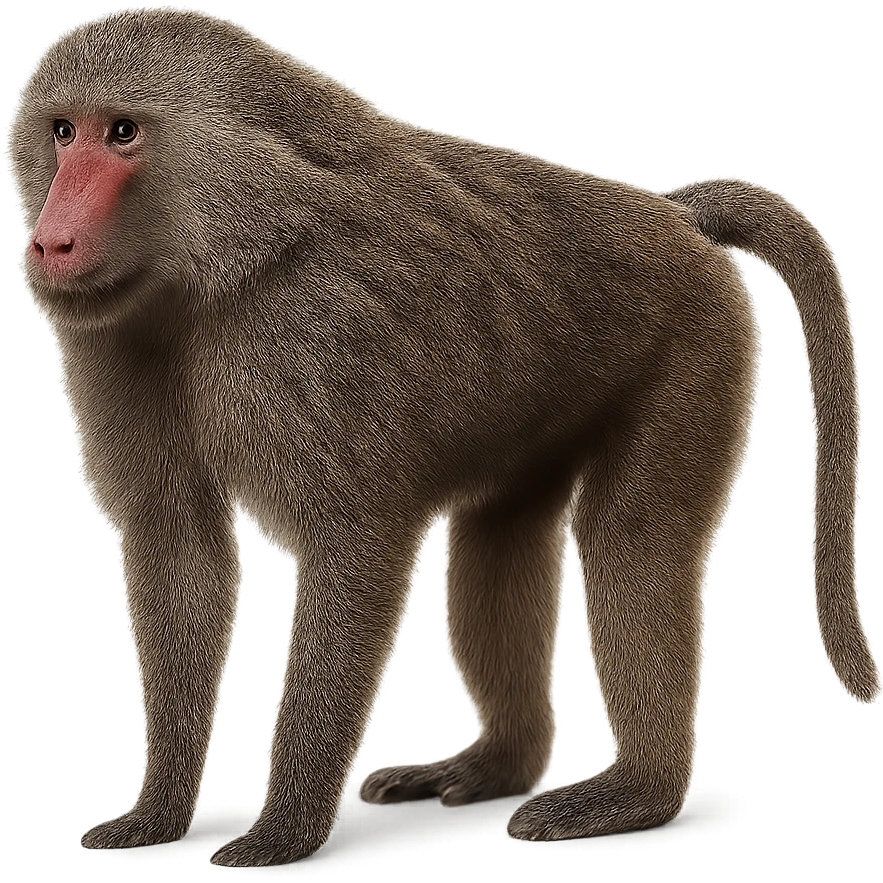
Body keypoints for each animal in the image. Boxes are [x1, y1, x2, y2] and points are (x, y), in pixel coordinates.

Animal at [10, 7, 878, 869]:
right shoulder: (117, 336)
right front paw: (157, 814)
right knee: (499, 534)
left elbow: (353, 544)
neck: (229, 257)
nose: (50, 242)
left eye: (122, 132)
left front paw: (285, 828)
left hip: (694, 338)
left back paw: (639, 792)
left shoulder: (317, 332)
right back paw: (499, 763)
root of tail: (673, 216)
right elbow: (178, 547)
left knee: (631, 542)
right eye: (63, 131)